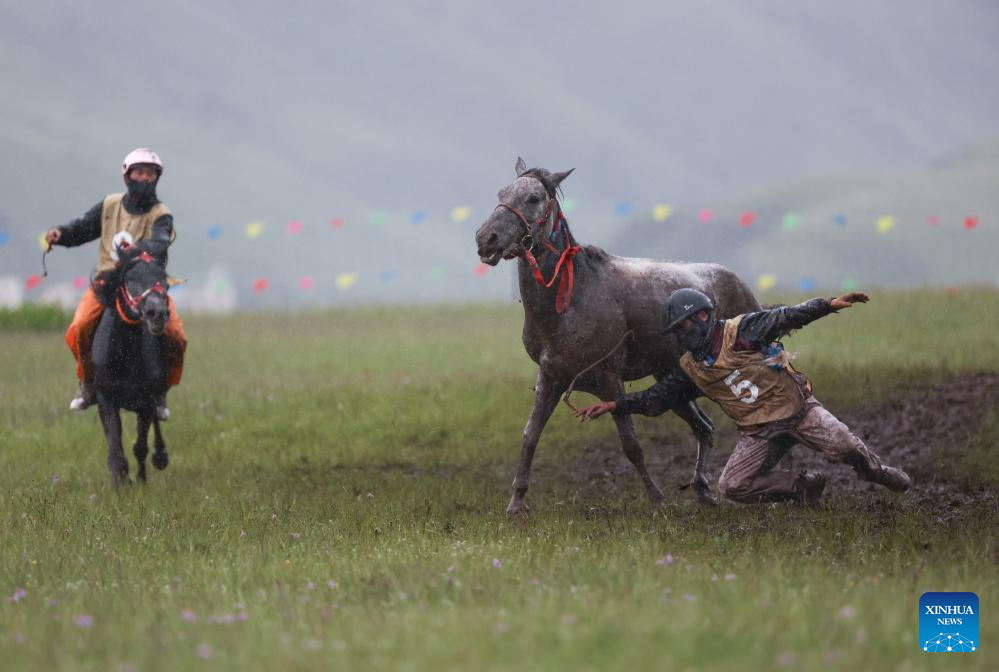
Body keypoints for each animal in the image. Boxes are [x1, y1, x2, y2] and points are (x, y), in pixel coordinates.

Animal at [472, 158, 760, 516]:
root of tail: (738, 282)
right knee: (704, 428)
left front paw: (658, 500)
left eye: (534, 197)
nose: (486, 238)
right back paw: (703, 490)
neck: (570, 303)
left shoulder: (610, 379)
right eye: (502, 193)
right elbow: (529, 436)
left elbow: (631, 445)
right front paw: (515, 505)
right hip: (670, 379)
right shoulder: (550, 379)